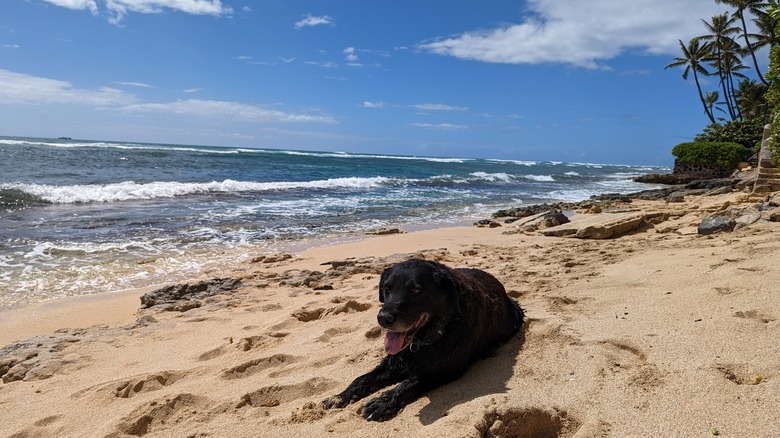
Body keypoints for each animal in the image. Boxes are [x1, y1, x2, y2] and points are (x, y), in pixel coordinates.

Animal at [322, 260, 524, 420]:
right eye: (387, 288)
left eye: (415, 290)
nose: (383, 318)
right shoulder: (394, 361)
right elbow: (361, 379)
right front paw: (339, 397)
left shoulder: (446, 370)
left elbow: (409, 383)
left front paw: (383, 402)